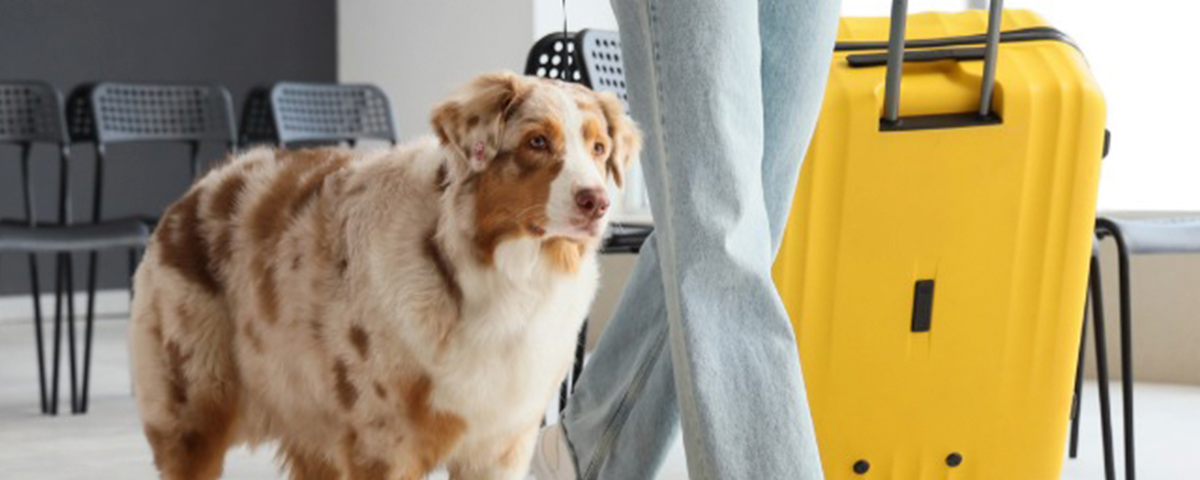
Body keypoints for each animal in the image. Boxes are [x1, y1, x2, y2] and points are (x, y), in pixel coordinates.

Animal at [128, 71, 641, 480]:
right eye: (537, 141)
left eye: (599, 148)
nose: (597, 202)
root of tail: (199, 189)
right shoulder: (384, 442)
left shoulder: (501, 441)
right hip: (192, 410)